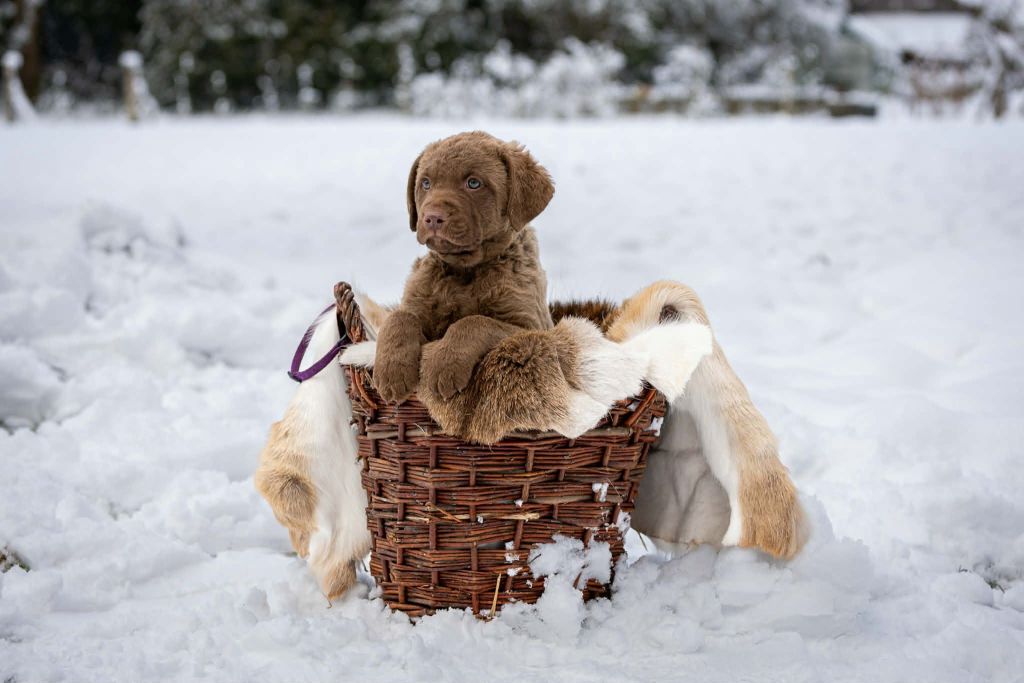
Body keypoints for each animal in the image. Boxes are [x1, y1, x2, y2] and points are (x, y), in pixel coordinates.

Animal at [372, 131, 555, 404]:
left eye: (473, 183)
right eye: (426, 184)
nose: (432, 217)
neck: (464, 270)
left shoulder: (530, 327)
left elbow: (475, 322)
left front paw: (444, 365)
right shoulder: (415, 301)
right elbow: (398, 317)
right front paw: (392, 373)